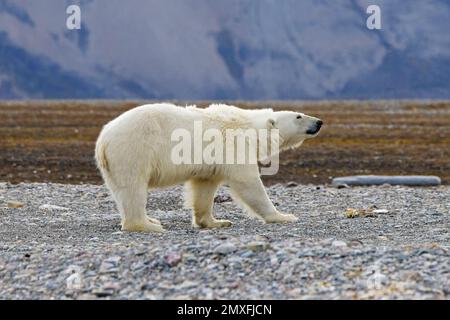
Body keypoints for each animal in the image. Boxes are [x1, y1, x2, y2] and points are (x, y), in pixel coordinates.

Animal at [95, 103, 322, 232]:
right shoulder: (234, 145)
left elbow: (204, 187)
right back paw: (149, 225)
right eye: (298, 116)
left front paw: (216, 221)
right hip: (133, 150)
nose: (319, 121)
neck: (250, 126)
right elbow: (248, 182)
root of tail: (103, 139)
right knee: (133, 188)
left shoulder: (210, 162)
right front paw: (283, 216)